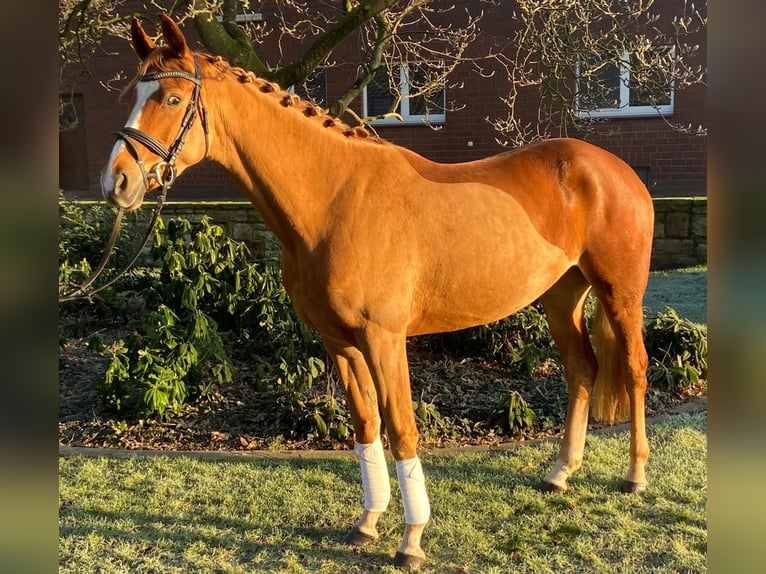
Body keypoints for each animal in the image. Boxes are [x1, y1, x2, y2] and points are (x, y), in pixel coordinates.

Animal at [100, 15, 656, 572]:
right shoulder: (339, 342)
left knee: (633, 367)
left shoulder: (385, 340)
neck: (335, 200)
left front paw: (411, 539)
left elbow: (402, 428)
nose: (117, 182)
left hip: (619, 293)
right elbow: (366, 425)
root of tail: (615, 168)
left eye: (172, 98)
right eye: (131, 94)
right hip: (561, 296)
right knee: (581, 369)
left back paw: (634, 475)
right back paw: (560, 472)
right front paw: (368, 523)